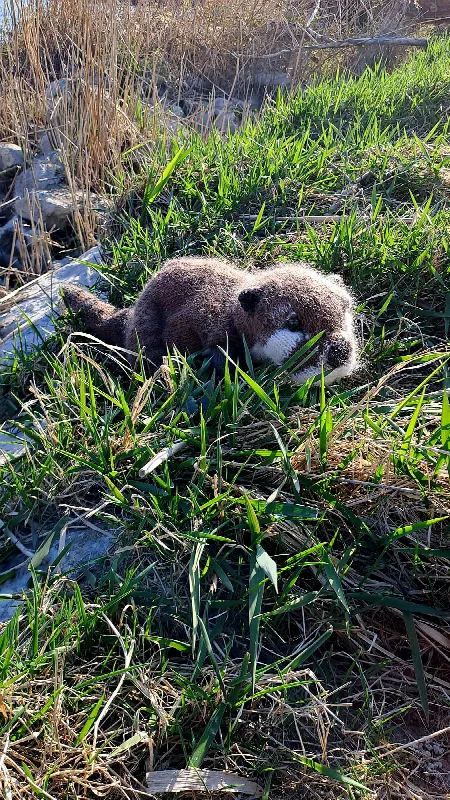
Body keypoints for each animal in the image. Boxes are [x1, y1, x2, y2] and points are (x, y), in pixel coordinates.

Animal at [61, 256, 358, 384]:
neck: (232, 312)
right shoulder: (213, 327)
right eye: (294, 323)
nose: (340, 352)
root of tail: (131, 314)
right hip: (146, 330)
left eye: (344, 313)